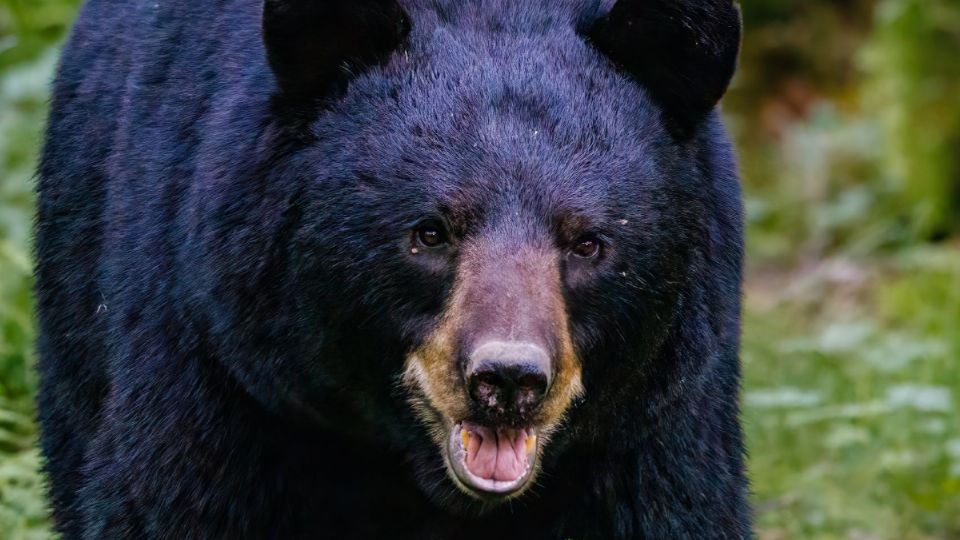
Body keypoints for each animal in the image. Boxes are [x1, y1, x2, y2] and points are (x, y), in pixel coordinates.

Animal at [37, 1, 748, 540]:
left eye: (588, 243)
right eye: (429, 232)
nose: (508, 380)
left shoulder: (658, 420)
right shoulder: (222, 361)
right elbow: (172, 501)